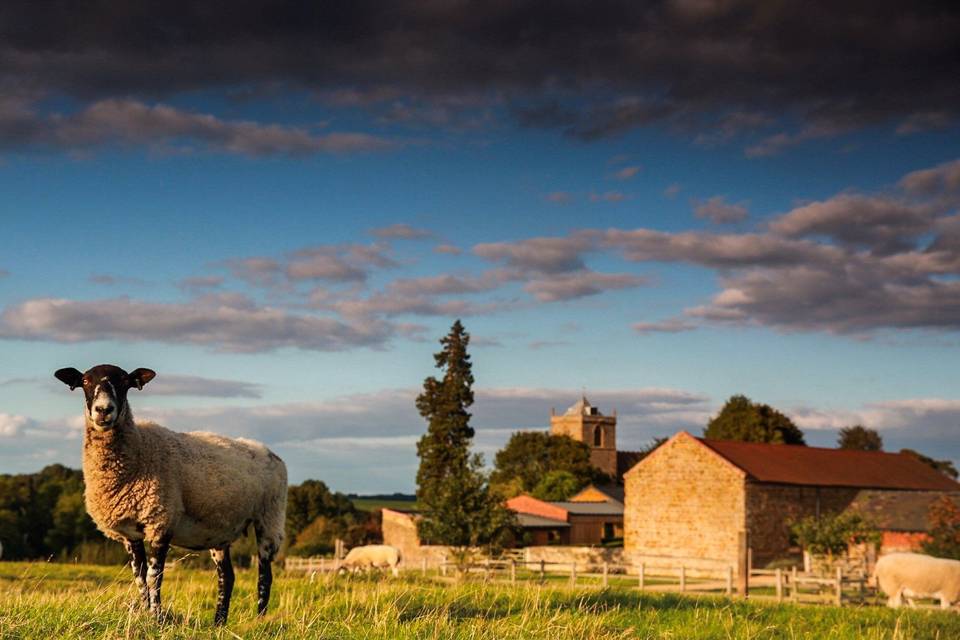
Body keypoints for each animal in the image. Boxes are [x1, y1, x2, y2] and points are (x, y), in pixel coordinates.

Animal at [54, 364, 286, 624]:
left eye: (124, 381)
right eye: (85, 381)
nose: (104, 410)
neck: (139, 450)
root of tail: (270, 452)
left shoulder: (160, 522)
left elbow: (155, 576)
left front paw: (157, 618)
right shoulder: (131, 533)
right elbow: (140, 578)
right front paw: (145, 615)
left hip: (270, 518)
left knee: (264, 575)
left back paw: (259, 620)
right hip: (220, 531)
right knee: (227, 576)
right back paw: (218, 624)